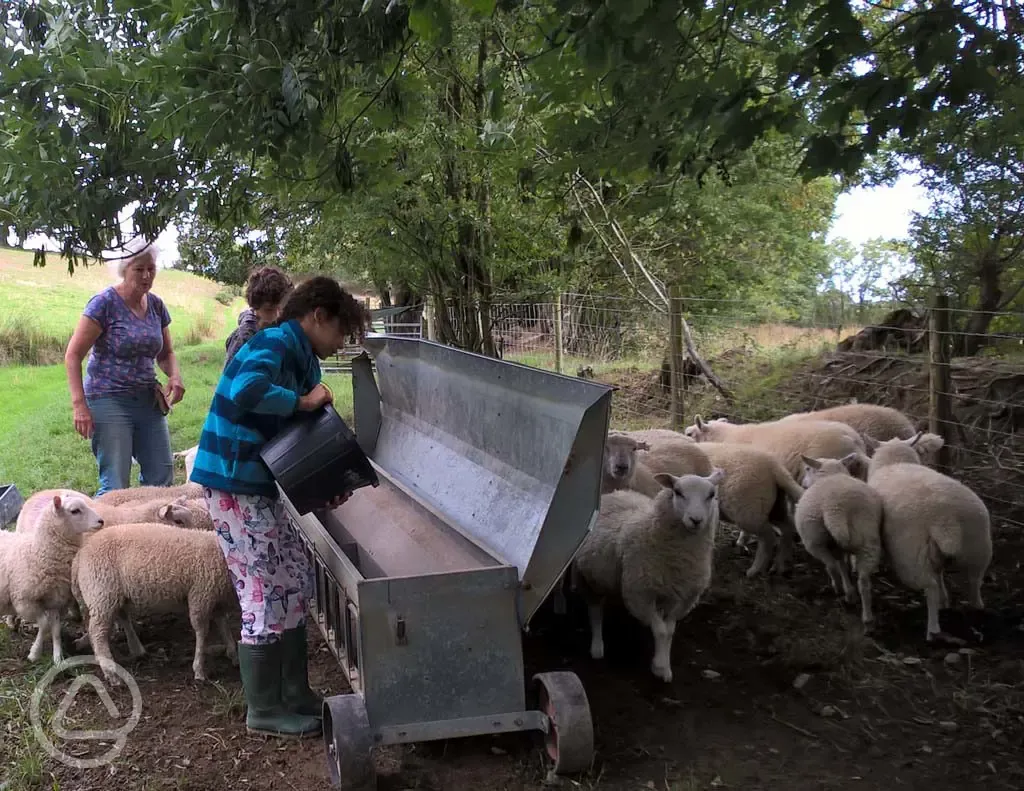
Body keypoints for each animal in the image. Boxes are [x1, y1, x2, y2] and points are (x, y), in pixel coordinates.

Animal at [0, 493, 104, 659]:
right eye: (75, 511)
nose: (101, 521)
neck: (38, 552)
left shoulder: (55, 600)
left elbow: (54, 628)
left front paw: (58, 657)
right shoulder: (25, 602)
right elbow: (44, 624)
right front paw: (35, 653)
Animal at [72, 522, 239, 684]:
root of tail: (80, 554)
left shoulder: (216, 597)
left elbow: (223, 624)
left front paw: (233, 654)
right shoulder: (200, 595)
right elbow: (202, 631)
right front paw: (199, 669)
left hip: (114, 595)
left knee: (121, 617)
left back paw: (136, 650)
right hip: (102, 593)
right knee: (97, 633)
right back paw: (111, 673)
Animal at [573, 467, 724, 684]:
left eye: (711, 495)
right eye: (678, 492)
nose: (696, 520)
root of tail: (614, 493)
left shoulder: (679, 596)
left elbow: (668, 631)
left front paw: (664, 666)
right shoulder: (640, 593)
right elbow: (660, 630)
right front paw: (659, 666)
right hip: (589, 577)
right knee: (595, 611)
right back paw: (597, 646)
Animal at [794, 454, 884, 627]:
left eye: (808, 468)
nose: (802, 484)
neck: (831, 474)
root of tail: (835, 508)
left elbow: (838, 565)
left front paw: (845, 588)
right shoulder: (840, 546)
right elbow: (843, 564)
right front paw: (849, 587)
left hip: (814, 539)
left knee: (831, 566)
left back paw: (837, 588)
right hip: (868, 540)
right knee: (864, 582)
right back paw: (867, 617)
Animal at [864, 432, 991, 643]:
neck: (894, 462)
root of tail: (946, 520)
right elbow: (940, 573)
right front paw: (945, 600)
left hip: (911, 556)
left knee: (930, 587)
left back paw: (933, 630)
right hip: (978, 547)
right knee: (974, 583)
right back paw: (977, 611)